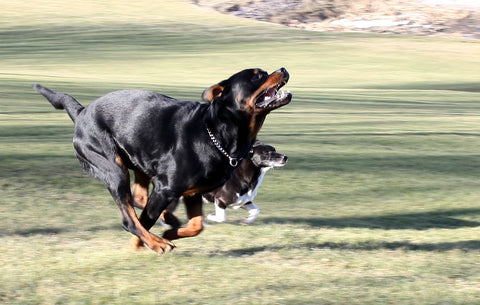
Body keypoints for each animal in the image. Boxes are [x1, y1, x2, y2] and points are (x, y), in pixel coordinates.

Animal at [33, 67, 290, 253]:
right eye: (257, 75)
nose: (283, 69)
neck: (215, 133)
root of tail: (81, 112)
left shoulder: (193, 192)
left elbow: (197, 225)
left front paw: (171, 233)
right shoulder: (167, 187)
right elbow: (145, 221)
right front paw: (144, 244)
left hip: (139, 161)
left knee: (139, 197)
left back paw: (168, 220)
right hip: (112, 168)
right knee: (129, 219)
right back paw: (156, 242)